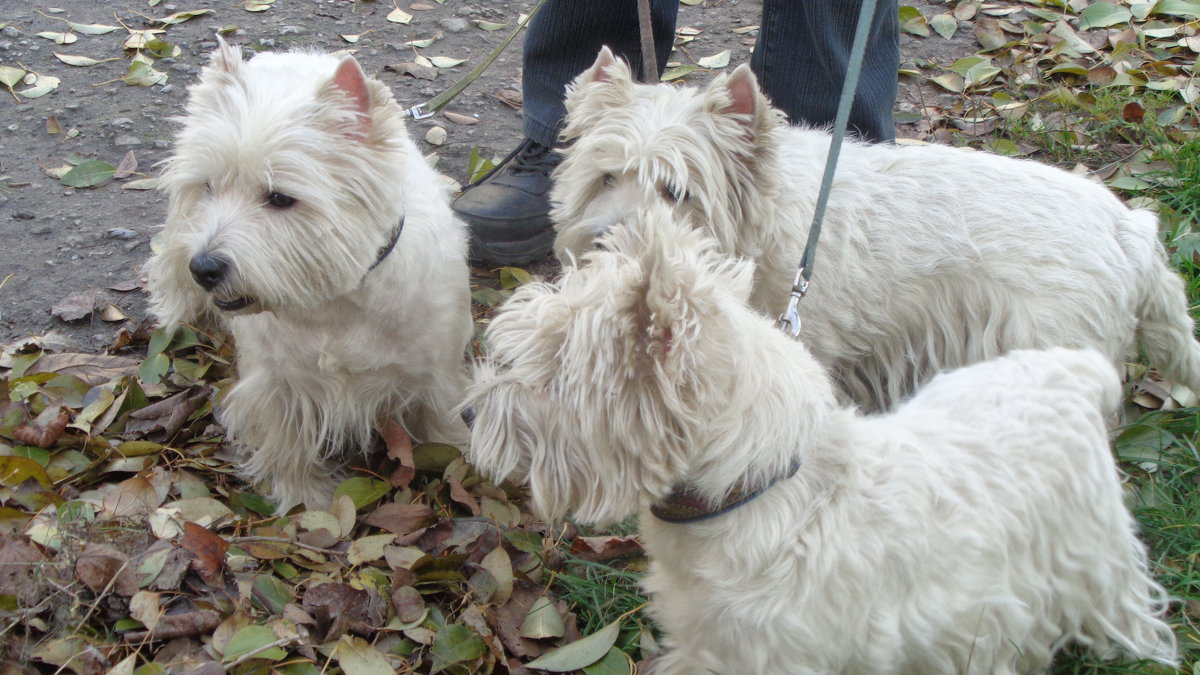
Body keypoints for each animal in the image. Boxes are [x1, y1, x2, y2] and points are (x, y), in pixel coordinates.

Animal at [142, 38, 470, 509]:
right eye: (208, 187)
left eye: (281, 198)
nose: (204, 268)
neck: (335, 299)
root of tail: (296, 53)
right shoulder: (279, 384)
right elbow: (289, 443)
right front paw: (306, 498)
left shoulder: (435, 375)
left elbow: (443, 426)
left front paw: (461, 465)